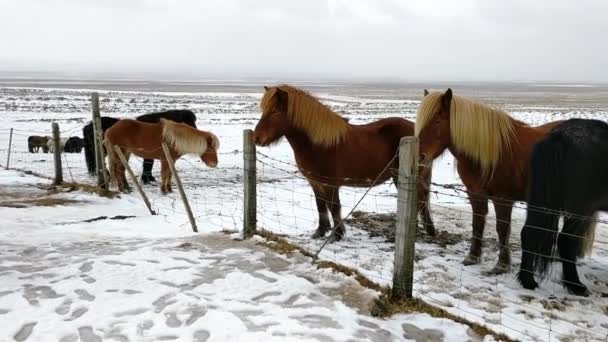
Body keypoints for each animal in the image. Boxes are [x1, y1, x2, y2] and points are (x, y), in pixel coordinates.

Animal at [253, 84, 436, 242]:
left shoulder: (330, 184)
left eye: (275, 111)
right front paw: (320, 231)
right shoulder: (315, 182)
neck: (318, 144)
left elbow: (334, 207)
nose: (256, 138)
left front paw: (337, 235)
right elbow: (321, 206)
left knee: (420, 200)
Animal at [416, 89, 564, 274]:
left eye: (437, 121)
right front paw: (473, 256)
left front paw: (502, 265)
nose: (419, 156)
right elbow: (477, 223)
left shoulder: (503, 199)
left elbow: (502, 229)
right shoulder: (475, 193)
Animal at [516, 119, 608, 296]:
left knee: (529, 233)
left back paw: (527, 280)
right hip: (581, 210)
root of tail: (560, 136)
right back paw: (575, 285)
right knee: (566, 240)